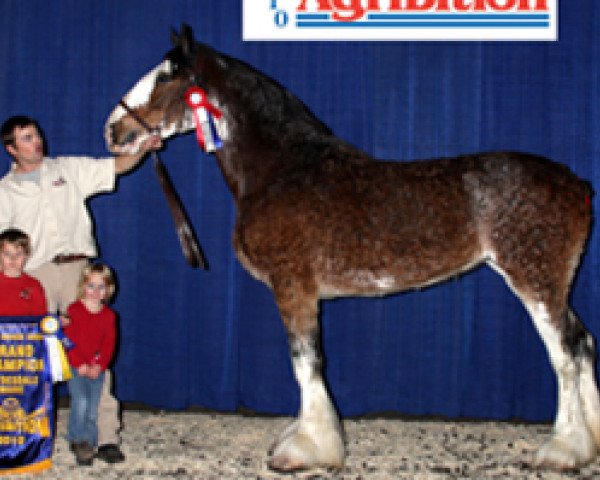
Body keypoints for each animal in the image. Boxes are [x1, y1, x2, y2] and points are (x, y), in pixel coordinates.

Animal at [104, 24, 600, 470]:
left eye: (167, 76)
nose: (113, 130)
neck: (284, 168)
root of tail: (575, 184)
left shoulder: (293, 286)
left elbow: (306, 363)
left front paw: (305, 451)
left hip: (535, 281)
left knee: (565, 354)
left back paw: (563, 452)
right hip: (554, 286)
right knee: (583, 343)